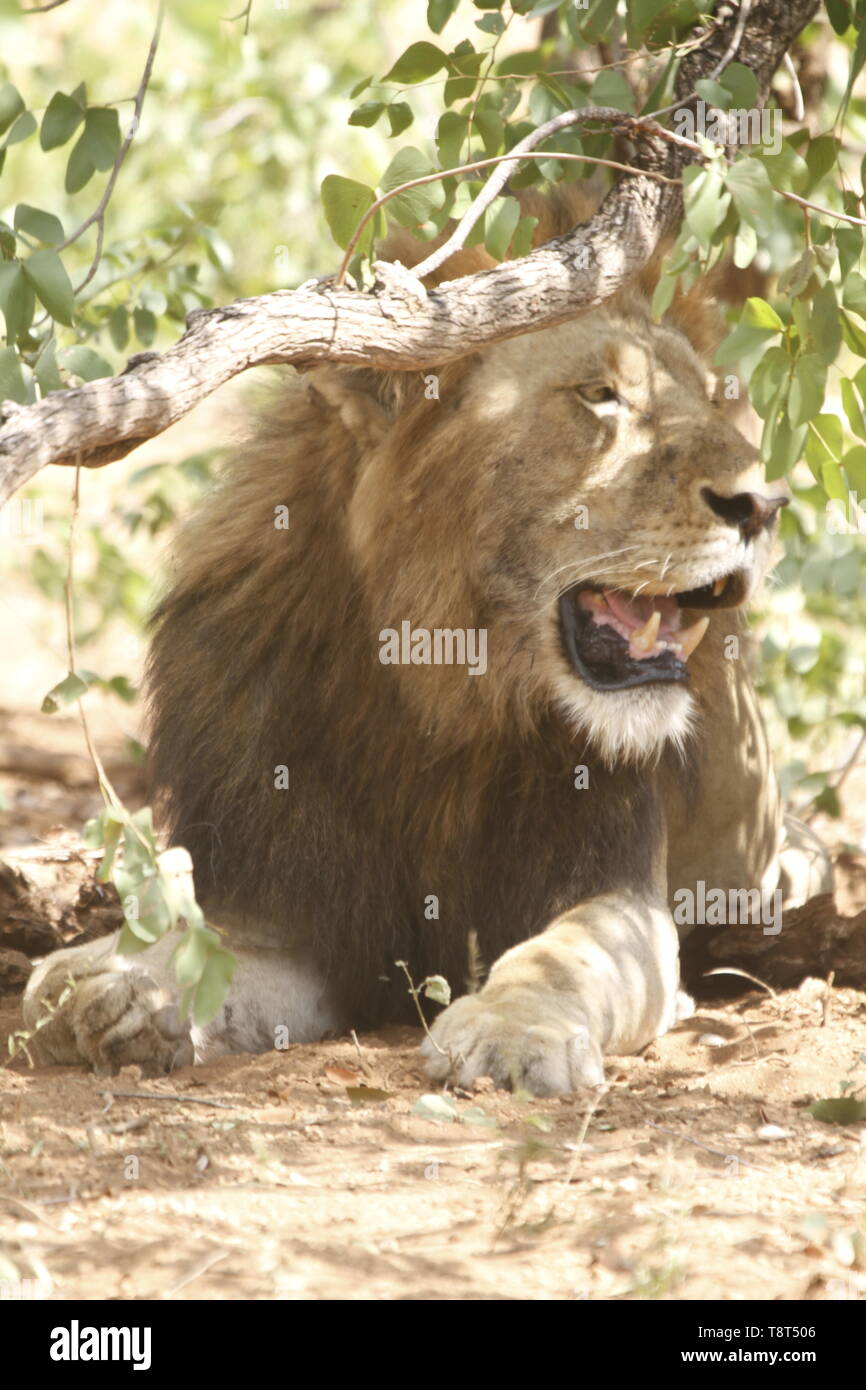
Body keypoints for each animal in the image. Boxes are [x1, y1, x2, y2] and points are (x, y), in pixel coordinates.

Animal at [22, 188, 830, 1092]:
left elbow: (566, 957)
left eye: (712, 402)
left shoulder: (617, 886)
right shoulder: (286, 902)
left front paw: (514, 1032)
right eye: (599, 396)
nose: (764, 504)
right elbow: (207, 949)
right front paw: (106, 983)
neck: (448, 689)